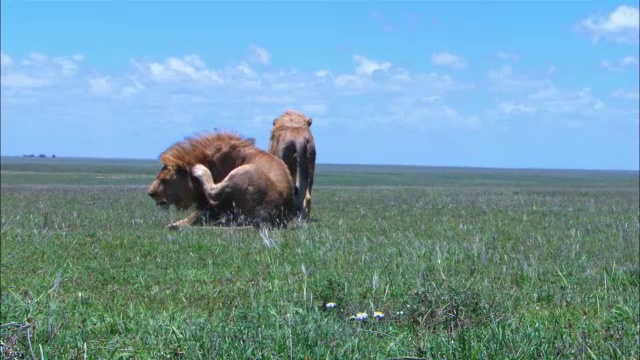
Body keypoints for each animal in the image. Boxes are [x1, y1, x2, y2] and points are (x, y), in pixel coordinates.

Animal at [148, 131, 296, 228]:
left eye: (165, 180)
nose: (150, 193)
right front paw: (175, 224)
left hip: (245, 170)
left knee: (212, 192)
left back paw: (199, 169)